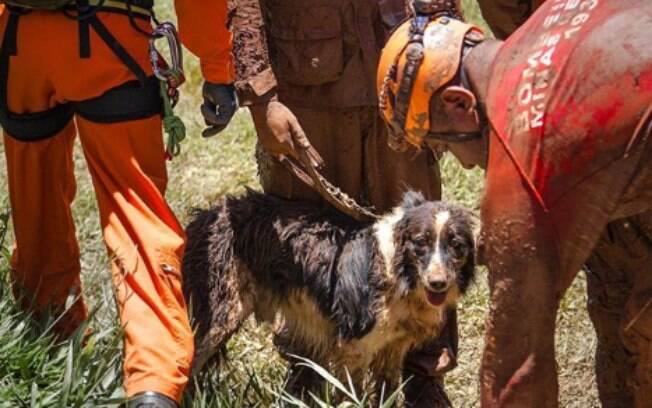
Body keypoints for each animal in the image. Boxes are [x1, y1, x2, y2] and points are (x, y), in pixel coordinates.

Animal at [181, 190, 476, 398]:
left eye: (456, 245)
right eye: (420, 243)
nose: (438, 284)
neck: (398, 272)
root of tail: (205, 215)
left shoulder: (392, 348)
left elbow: (387, 394)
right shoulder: (355, 344)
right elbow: (351, 395)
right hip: (221, 314)